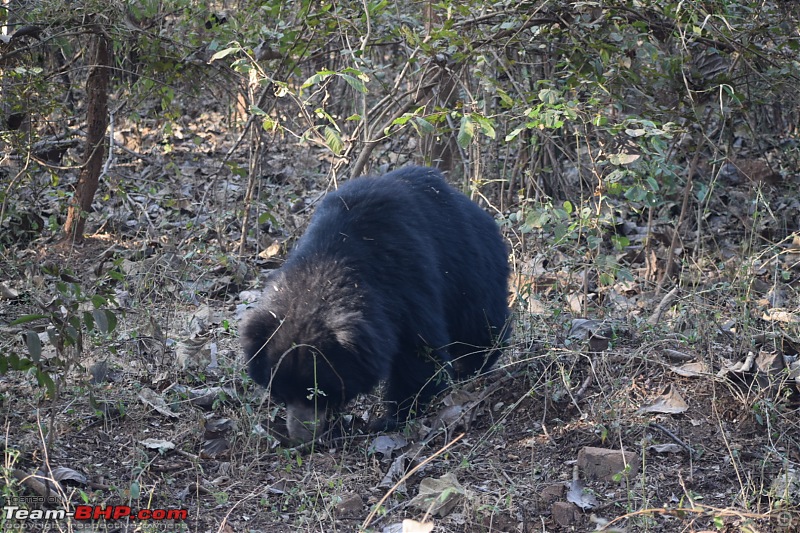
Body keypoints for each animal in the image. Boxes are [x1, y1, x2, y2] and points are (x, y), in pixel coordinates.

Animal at [241, 165, 510, 440]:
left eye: (319, 392)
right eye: (281, 391)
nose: (301, 437)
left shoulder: (407, 282)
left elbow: (419, 351)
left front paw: (393, 418)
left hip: (471, 268)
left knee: (478, 323)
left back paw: (472, 366)